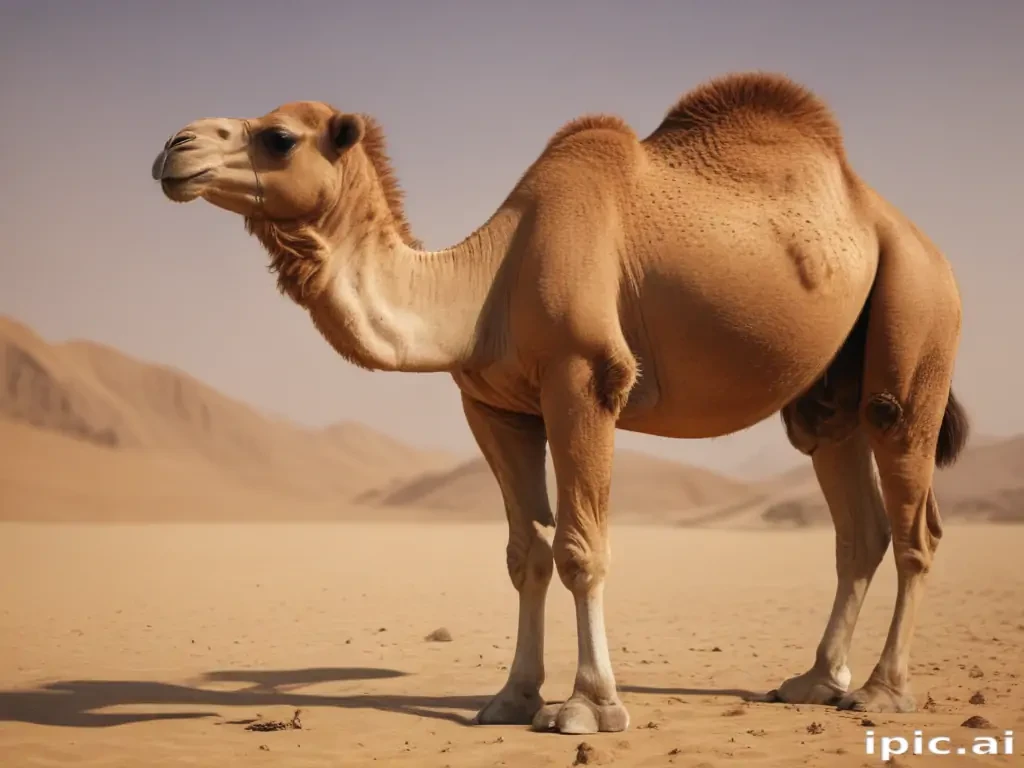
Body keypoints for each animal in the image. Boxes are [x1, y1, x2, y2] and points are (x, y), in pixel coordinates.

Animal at [149, 71, 969, 735]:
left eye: (278, 137)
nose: (171, 147)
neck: (486, 282)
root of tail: (912, 235)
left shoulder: (585, 379)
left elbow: (580, 548)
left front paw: (587, 706)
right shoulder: (494, 408)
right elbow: (526, 554)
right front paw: (511, 699)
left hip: (917, 311)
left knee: (913, 518)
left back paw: (882, 691)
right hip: (826, 393)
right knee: (855, 521)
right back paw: (814, 681)